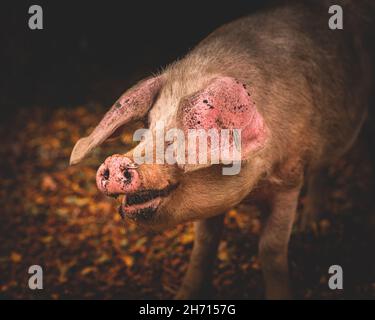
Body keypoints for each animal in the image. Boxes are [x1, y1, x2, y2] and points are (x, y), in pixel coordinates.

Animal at [69, 0, 374, 300]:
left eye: (177, 139)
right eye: (146, 129)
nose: (114, 162)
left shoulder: (289, 180)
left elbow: (271, 249)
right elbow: (204, 245)